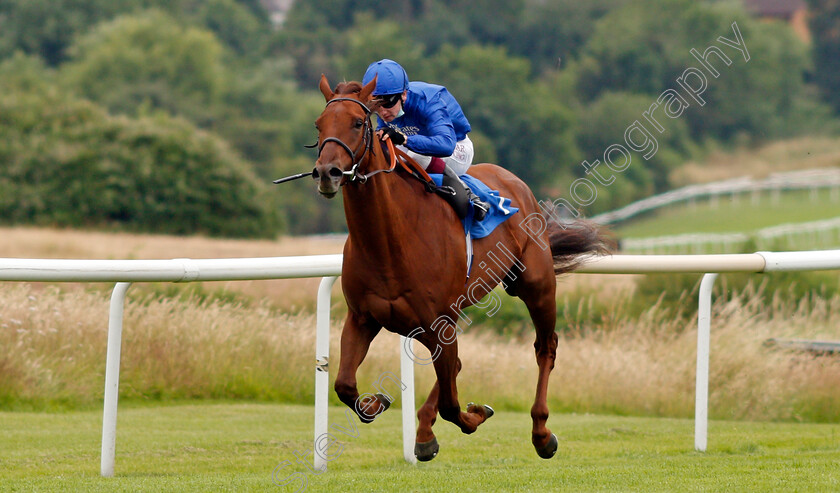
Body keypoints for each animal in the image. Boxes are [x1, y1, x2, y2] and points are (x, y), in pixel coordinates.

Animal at [312, 75, 608, 460]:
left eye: (359, 123)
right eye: (319, 125)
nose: (327, 173)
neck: (389, 240)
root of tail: (513, 180)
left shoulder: (440, 322)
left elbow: (453, 405)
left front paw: (477, 414)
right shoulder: (363, 317)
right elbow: (345, 384)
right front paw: (377, 403)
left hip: (536, 285)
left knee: (546, 348)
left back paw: (542, 433)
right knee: (453, 368)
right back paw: (424, 432)